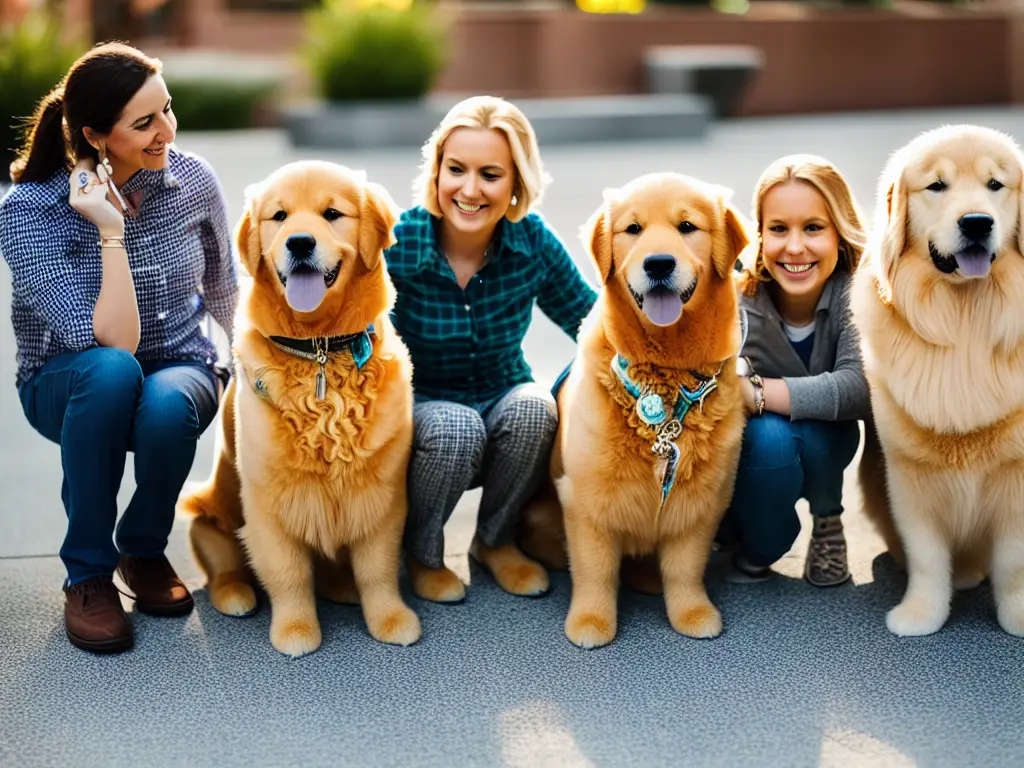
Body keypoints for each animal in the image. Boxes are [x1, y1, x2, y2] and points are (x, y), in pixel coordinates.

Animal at [851, 124, 1024, 638]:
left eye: (995, 184)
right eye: (937, 186)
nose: (977, 223)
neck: (965, 315)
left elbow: (1014, 563)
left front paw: (1018, 617)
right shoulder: (908, 473)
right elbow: (926, 555)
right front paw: (921, 614)